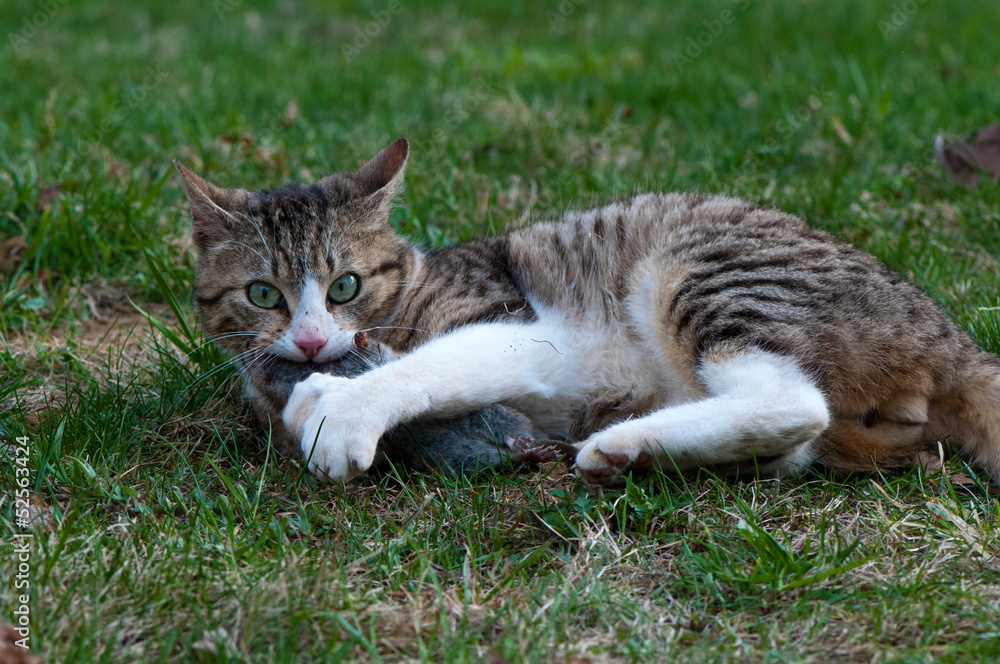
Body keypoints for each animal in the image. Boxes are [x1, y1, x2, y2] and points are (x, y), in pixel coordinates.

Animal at [176, 137, 1000, 486]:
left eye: (344, 286)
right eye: (263, 294)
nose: (314, 342)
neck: (408, 285)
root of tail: (954, 340)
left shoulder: (518, 328)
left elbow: (428, 364)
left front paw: (343, 406)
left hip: (703, 270)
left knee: (793, 402)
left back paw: (624, 440)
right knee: (799, 441)